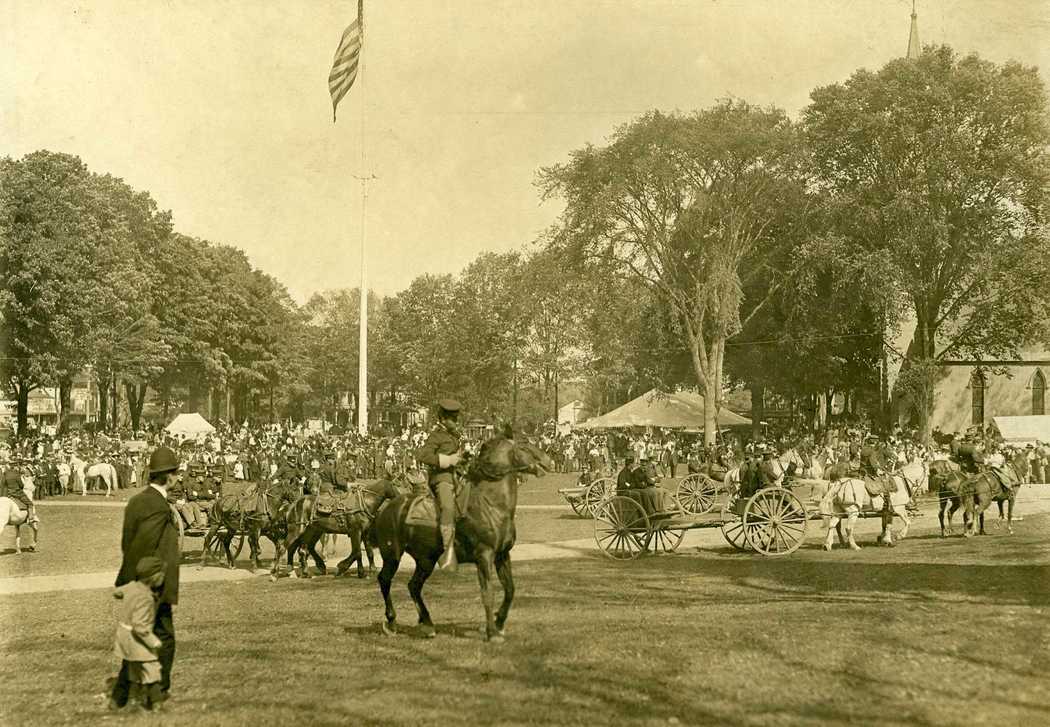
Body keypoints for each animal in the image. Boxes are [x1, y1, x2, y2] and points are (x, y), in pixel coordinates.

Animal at [377, 434, 558, 638]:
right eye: (524, 446)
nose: (548, 461)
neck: (491, 505)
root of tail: (388, 507)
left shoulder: (502, 555)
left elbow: (510, 589)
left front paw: (499, 622)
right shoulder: (484, 556)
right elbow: (488, 593)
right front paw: (492, 632)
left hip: (426, 560)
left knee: (413, 586)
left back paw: (428, 624)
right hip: (392, 555)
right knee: (385, 580)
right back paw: (391, 621)